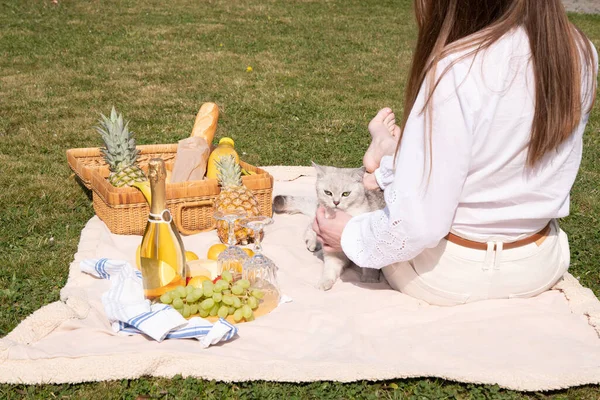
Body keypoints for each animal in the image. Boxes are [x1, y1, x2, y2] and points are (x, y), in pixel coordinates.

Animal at [272, 162, 384, 290]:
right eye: (328, 193)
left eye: (346, 194)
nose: (336, 202)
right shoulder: (332, 251)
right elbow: (330, 268)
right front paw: (325, 282)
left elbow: (370, 266)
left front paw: (370, 280)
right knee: (310, 227)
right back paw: (312, 243)